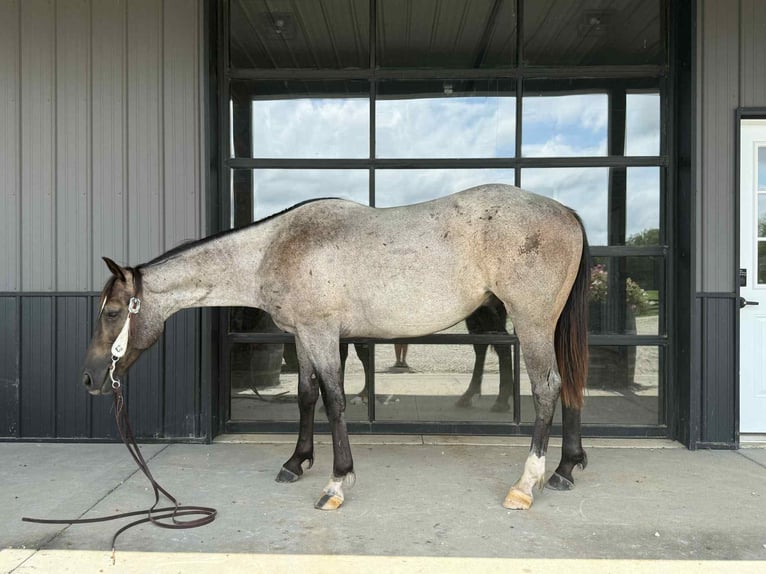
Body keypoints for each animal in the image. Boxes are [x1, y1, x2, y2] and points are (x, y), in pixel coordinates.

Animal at [81, 183, 590, 511]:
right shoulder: (303, 337)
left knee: (547, 387)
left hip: (532, 322)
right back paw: (566, 468)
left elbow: (335, 401)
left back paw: (526, 484)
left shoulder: (323, 335)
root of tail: (566, 211)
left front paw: (336, 482)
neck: (276, 248)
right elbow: (308, 397)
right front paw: (296, 461)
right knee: (569, 385)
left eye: (112, 312)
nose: (89, 378)